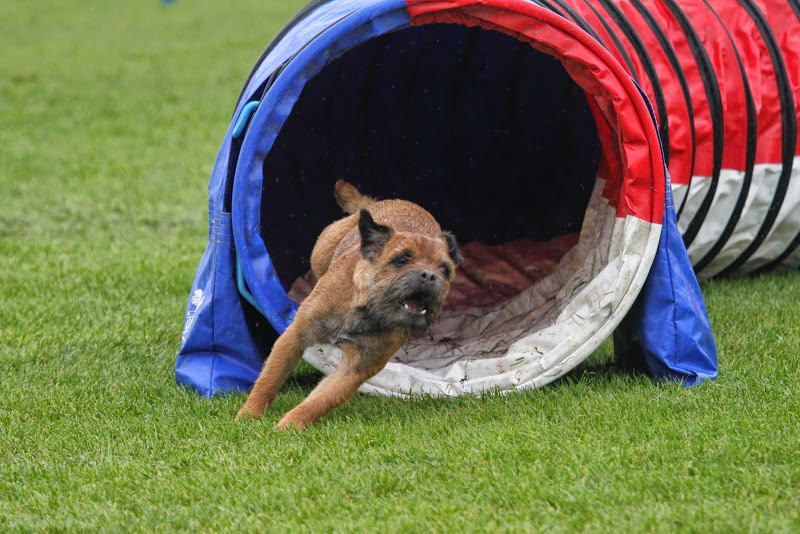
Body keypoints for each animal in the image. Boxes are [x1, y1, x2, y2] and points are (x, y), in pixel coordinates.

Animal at [234, 180, 460, 432]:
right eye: (401, 260)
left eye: (444, 269)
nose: (430, 276)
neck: (365, 310)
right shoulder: (294, 337)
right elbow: (270, 378)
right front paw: (249, 415)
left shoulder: (354, 370)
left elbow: (320, 400)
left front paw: (290, 425)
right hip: (322, 251)